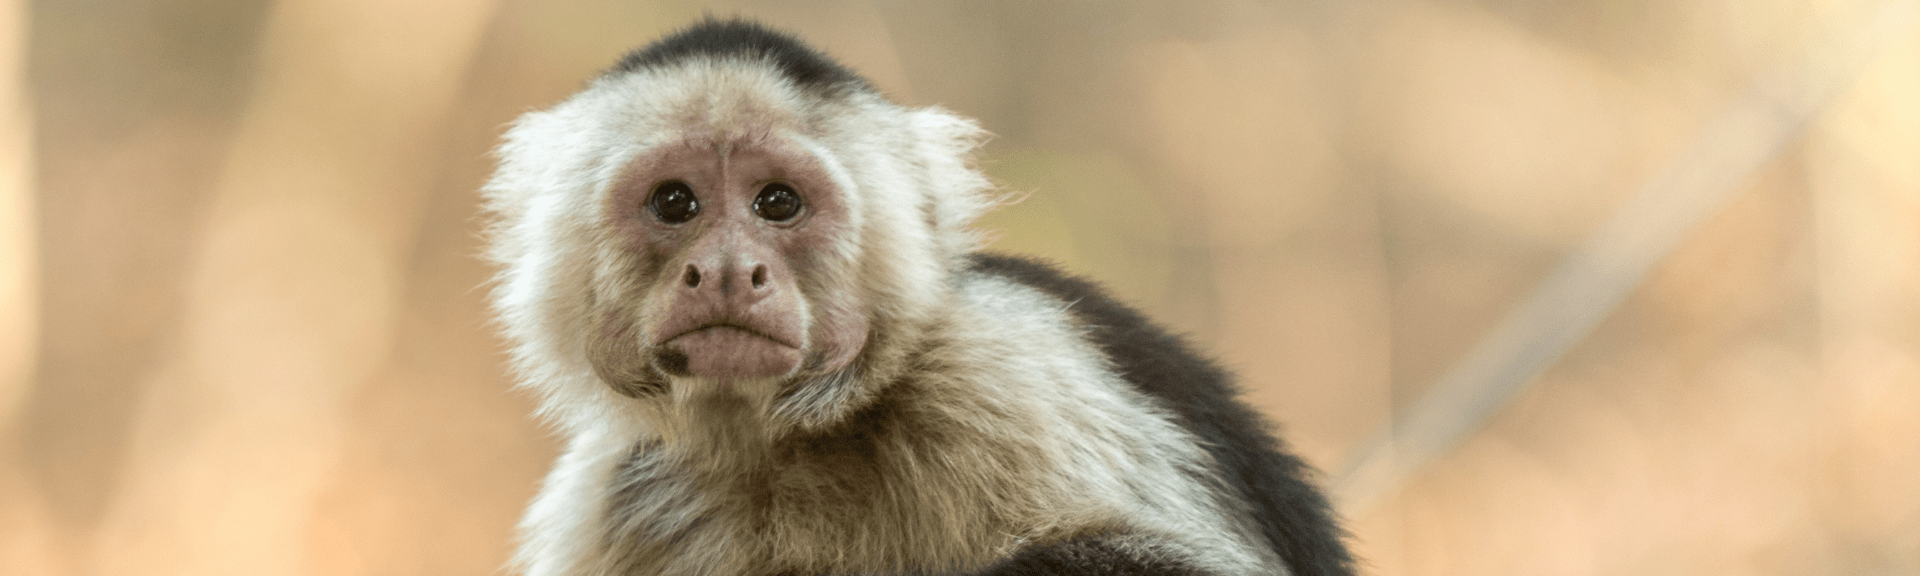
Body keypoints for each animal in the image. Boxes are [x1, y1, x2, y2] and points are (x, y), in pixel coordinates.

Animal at [482, 19, 1354, 576]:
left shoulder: (1005, 370)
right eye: (674, 204)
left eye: (778, 203)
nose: (727, 271)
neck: (787, 442)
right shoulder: (606, 497)